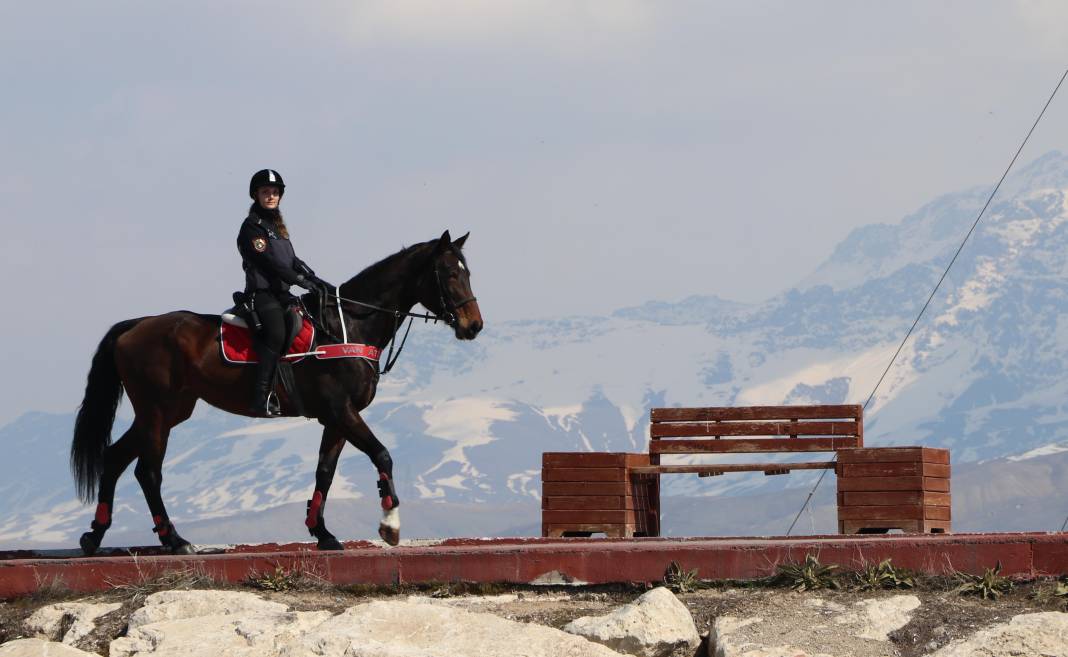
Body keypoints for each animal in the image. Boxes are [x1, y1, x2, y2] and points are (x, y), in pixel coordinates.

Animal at [69, 231, 480, 555]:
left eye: (468, 272)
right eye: (448, 273)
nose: (473, 325)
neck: (348, 325)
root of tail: (135, 327)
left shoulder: (336, 419)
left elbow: (325, 473)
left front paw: (322, 532)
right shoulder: (342, 411)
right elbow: (383, 455)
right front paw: (390, 525)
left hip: (168, 412)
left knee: (114, 458)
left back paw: (95, 536)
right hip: (156, 411)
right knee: (148, 472)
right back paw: (174, 540)